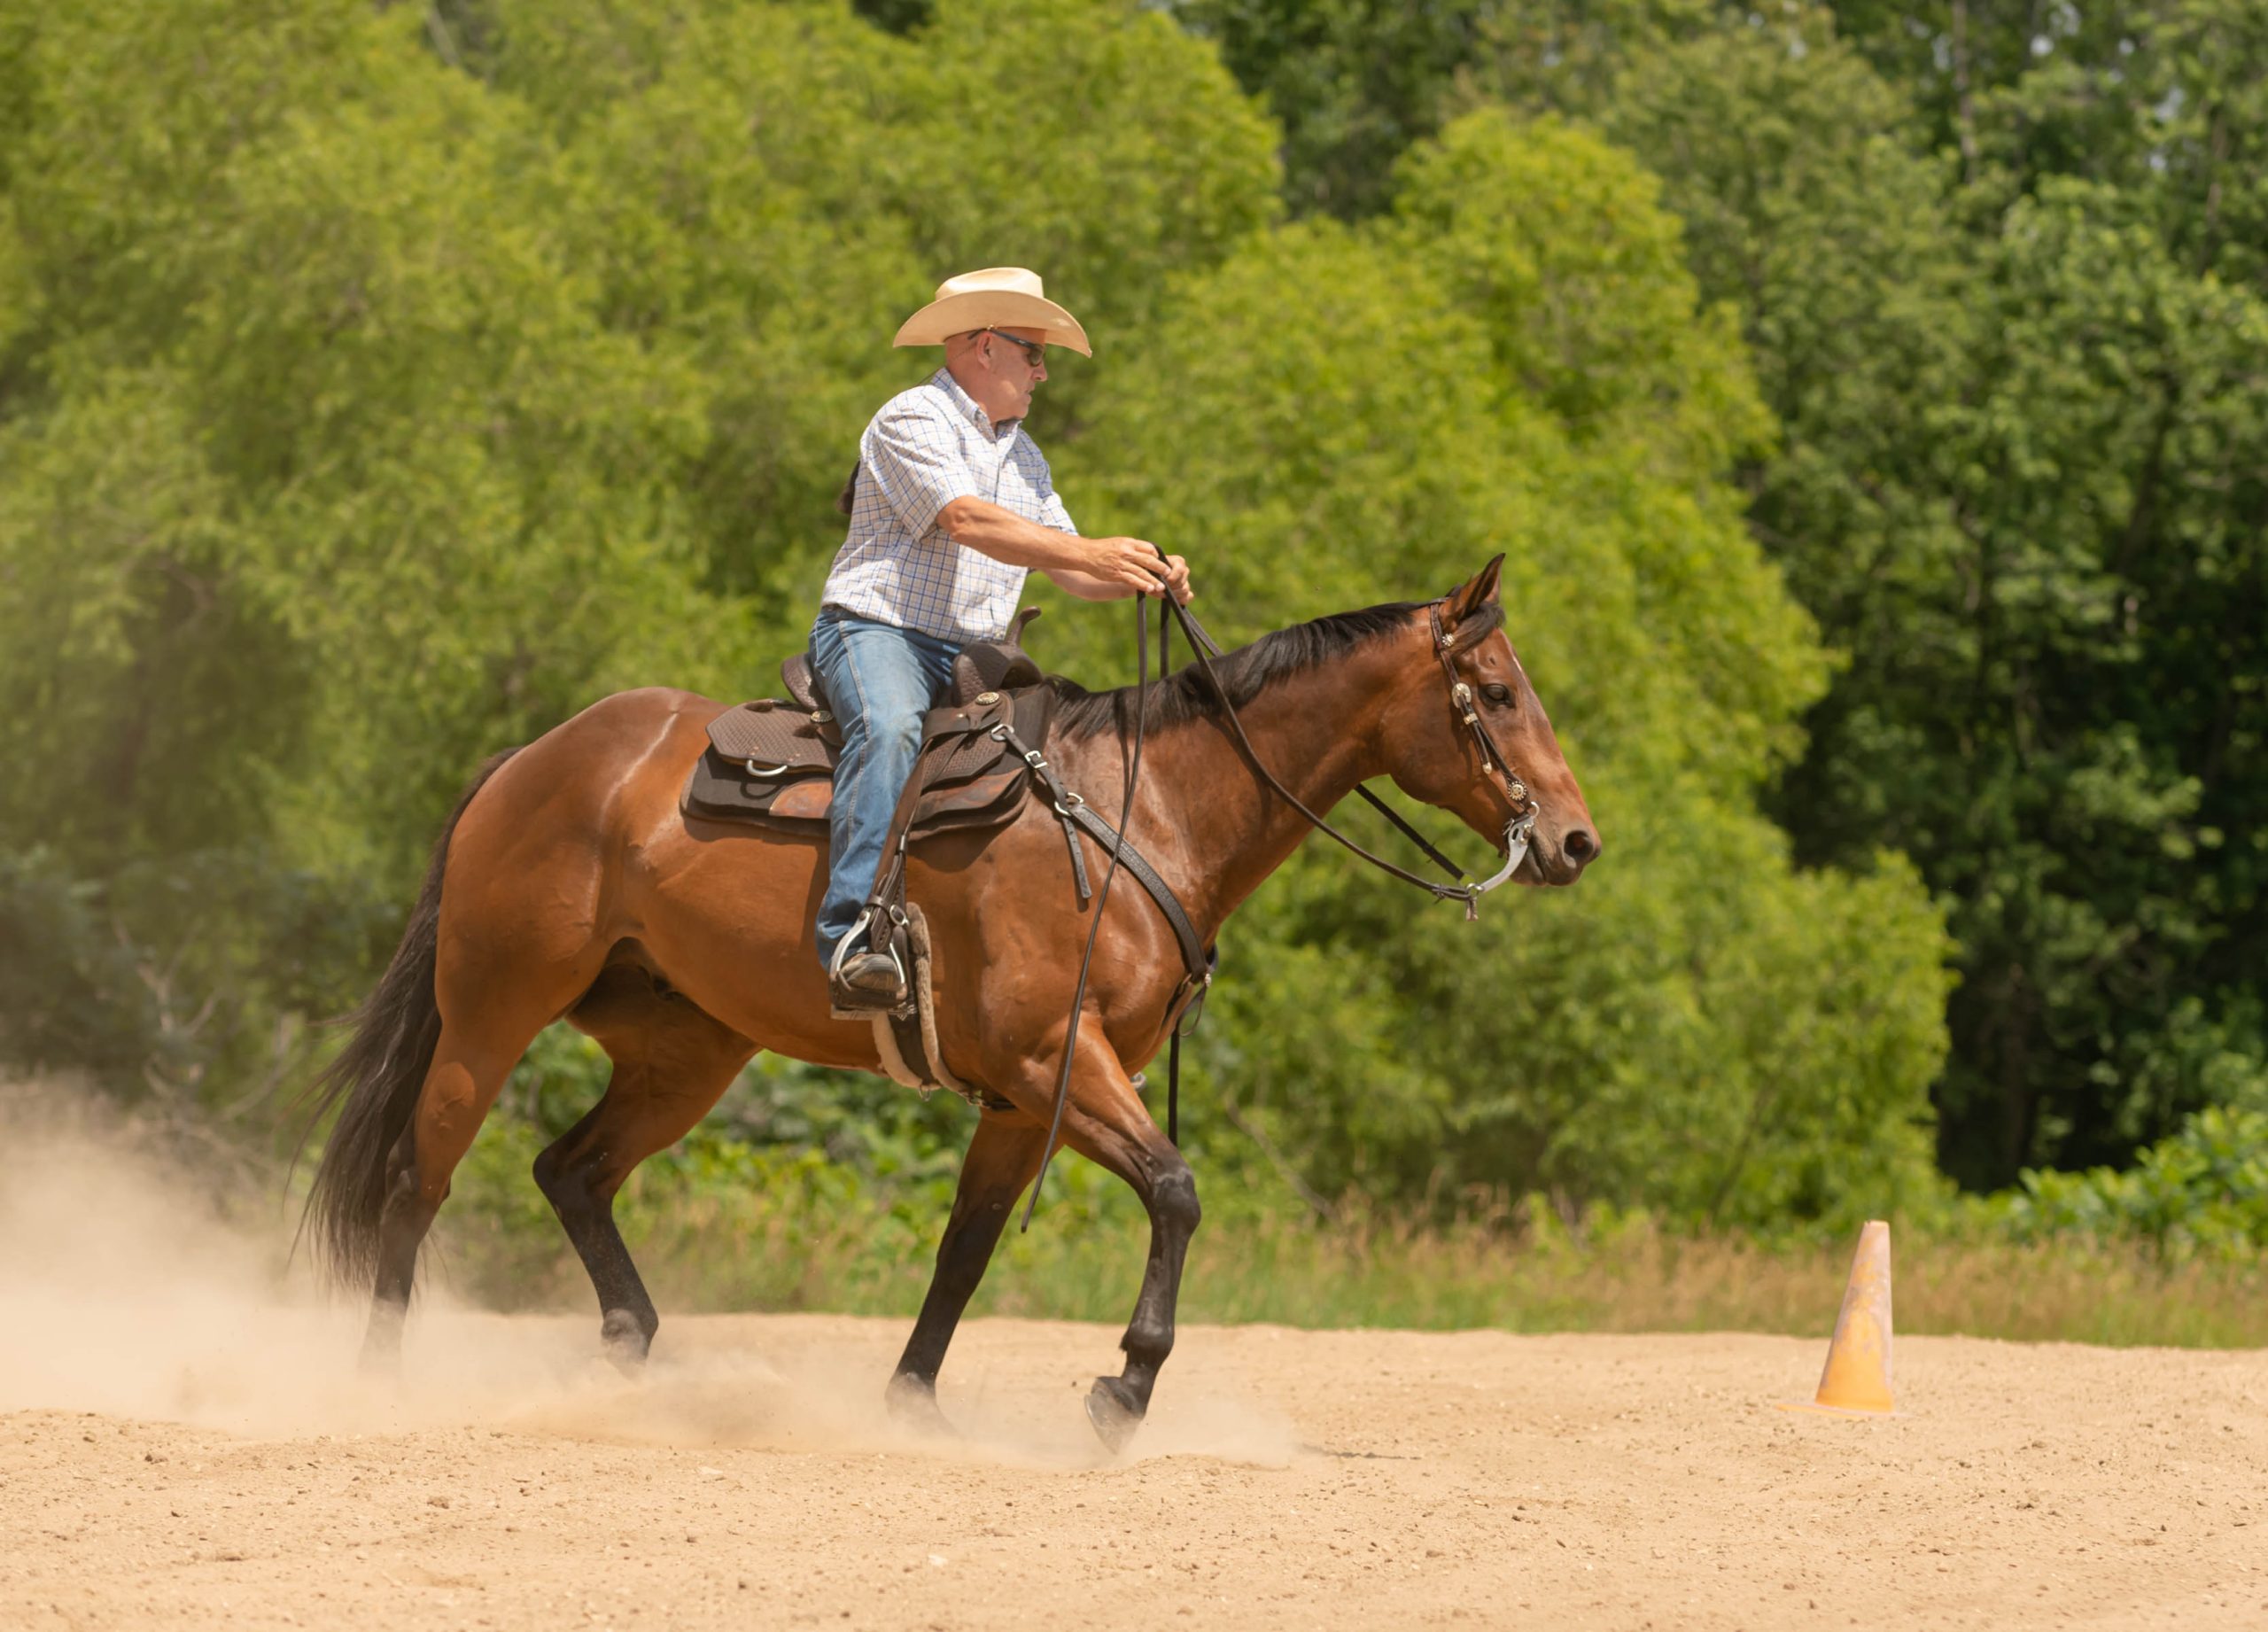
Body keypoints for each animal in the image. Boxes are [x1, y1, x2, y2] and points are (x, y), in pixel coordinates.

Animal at [301, 555, 1600, 1447]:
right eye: (1494, 690)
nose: (1576, 841)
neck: (1142, 813)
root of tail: (531, 759)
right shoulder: (1053, 1059)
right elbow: (1175, 1191)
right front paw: (1125, 1384)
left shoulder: (1024, 1099)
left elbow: (965, 1249)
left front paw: (913, 1404)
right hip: (489, 1013)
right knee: (419, 1179)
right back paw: (378, 1383)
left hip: (687, 1051)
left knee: (571, 1170)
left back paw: (630, 1348)